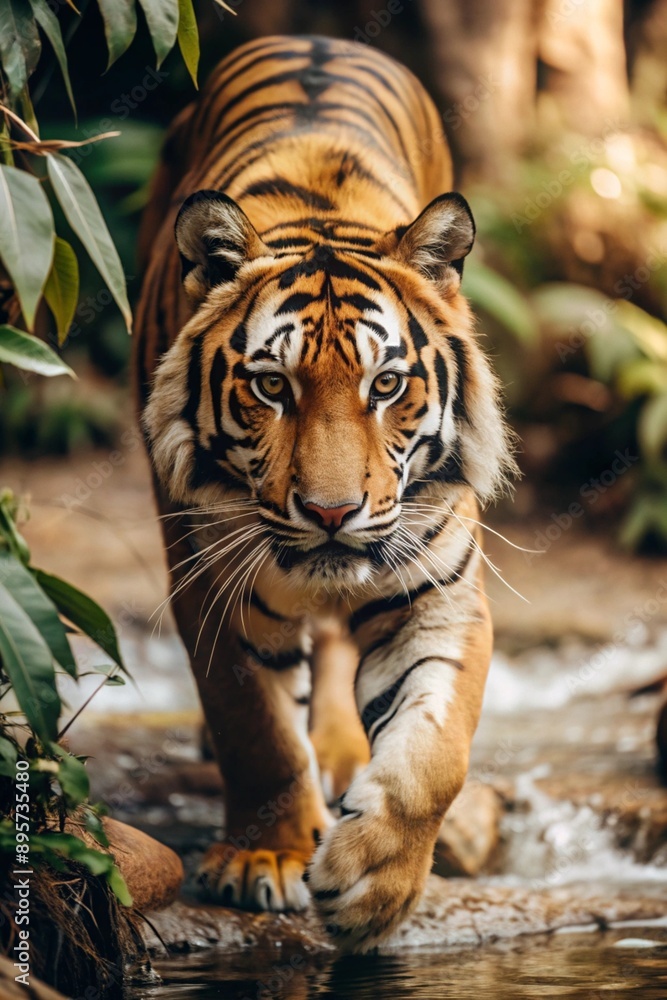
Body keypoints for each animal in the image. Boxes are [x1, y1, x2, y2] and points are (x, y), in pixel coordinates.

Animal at [134, 34, 517, 951]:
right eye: (272, 387)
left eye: (386, 385)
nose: (333, 514)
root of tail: (320, 37)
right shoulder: (212, 582)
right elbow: (255, 725)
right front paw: (265, 857)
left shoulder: (439, 593)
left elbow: (433, 753)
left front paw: (375, 884)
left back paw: (342, 753)